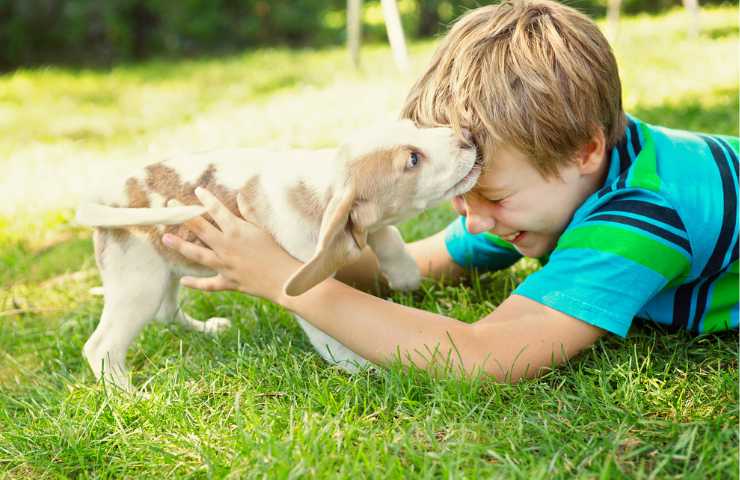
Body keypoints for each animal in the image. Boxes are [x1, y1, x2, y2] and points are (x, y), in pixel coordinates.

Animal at [75, 120, 480, 390]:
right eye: (412, 159)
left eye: (416, 126)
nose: (467, 136)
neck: (318, 186)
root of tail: (107, 198)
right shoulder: (310, 291)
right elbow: (333, 340)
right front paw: (368, 370)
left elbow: (387, 232)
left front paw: (404, 272)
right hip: (139, 282)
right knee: (101, 347)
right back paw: (128, 397)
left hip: (163, 272)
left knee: (166, 313)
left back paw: (206, 329)